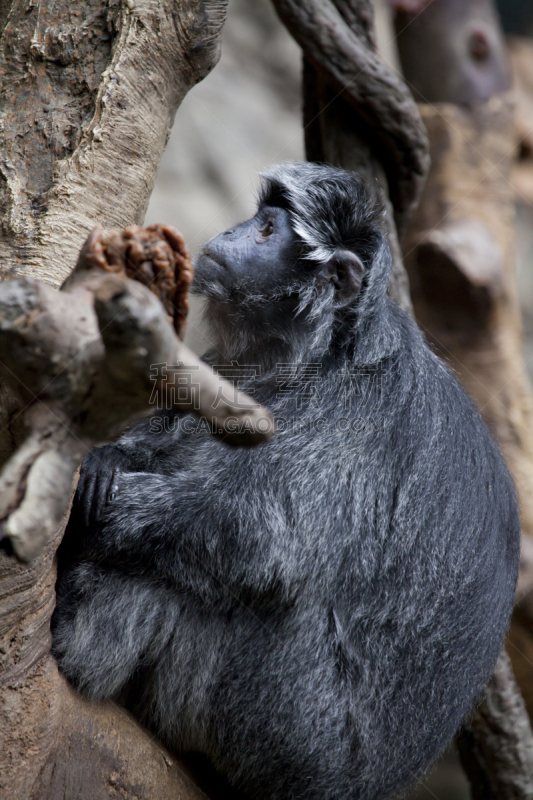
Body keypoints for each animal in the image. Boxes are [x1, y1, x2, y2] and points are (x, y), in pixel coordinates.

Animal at [52, 162, 516, 800]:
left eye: (269, 230)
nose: (234, 231)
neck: (320, 353)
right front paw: (107, 458)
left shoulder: (355, 412)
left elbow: (260, 542)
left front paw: (91, 506)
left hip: (287, 723)